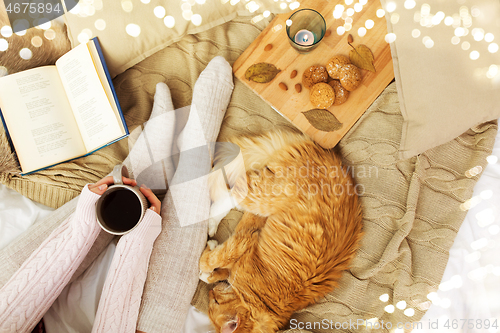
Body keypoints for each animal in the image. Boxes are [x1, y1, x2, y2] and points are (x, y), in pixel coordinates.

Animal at [199, 130, 364, 332]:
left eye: (213, 302)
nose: (210, 294)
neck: (264, 303)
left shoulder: (244, 242)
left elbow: (212, 264)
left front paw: (208, 269)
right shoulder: (245, 241)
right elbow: (213, 261)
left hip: (261, 200)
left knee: (233, 192)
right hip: (264, 198)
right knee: (232, 188)